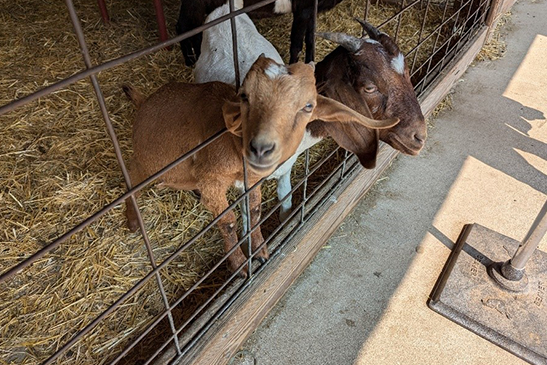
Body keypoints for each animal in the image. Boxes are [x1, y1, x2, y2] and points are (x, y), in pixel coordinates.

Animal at [123, 55, 398, 274]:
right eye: (244, 96)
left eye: (308, 106)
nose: (261, 148)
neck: (232, 145)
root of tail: (144, 102)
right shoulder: (211, 179)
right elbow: (228, 221)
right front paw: (240, 266)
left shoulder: (250, 181)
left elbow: (254, 211)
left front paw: (260, 252)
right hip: (145, 165)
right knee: (132, 178)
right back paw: (133, 221)